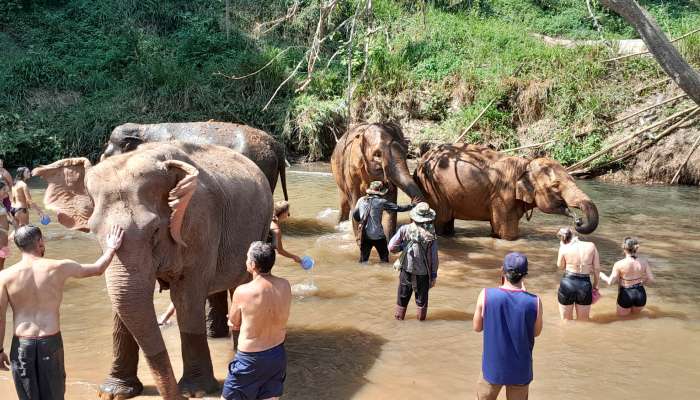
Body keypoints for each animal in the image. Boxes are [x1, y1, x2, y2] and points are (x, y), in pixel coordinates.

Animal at [33, 143, 274, 400]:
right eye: (95, 232)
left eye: (155, 231)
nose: (176, 396)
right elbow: (123, 303)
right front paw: (113, 392)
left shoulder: (200, 223)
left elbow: (186, 298)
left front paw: (196, 391)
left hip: (259, 225)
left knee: (240, 285)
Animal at [412, 144, 600, 239]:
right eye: (555, 186)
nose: (578, 221)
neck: (526, 164)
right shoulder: (502, 195)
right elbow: (507, 233)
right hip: (433, 190)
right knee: (441, 220)